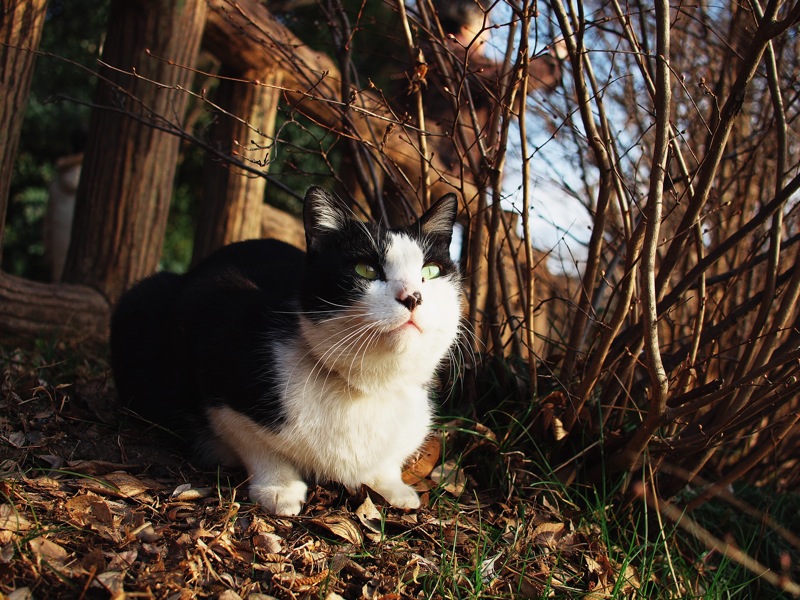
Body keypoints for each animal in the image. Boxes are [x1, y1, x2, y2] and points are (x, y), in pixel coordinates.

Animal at [111, 188, 462, 516]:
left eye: (430, 272)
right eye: (366, 269)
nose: (413, 297)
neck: (367, 389)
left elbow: (387, 463)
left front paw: (393, 487)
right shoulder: (215, 337)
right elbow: (255, 442)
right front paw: (279, 488)